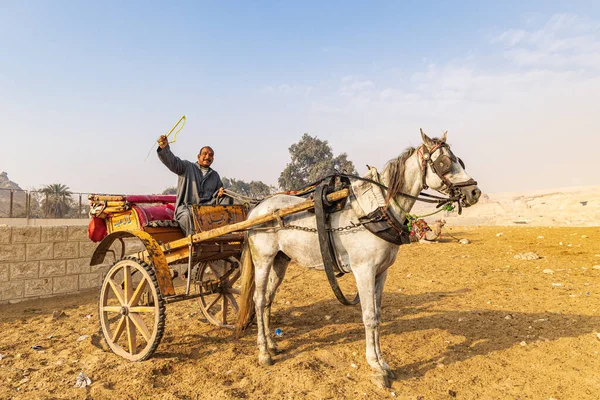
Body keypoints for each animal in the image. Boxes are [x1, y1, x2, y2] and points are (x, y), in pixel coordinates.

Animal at [236, 130, 482, 388]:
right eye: (444, 163)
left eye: (459, 160)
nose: (475, 192)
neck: (377, 211)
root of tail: (257, 208)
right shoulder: (364, 271)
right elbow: (369, 316)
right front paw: (376, 366)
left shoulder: (381, 272)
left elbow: (378, 315)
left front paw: (383, 362)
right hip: (263, 259)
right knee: (259, 300)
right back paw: (264, 352)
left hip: (280, 260)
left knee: (268, 300)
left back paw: (272, 344)